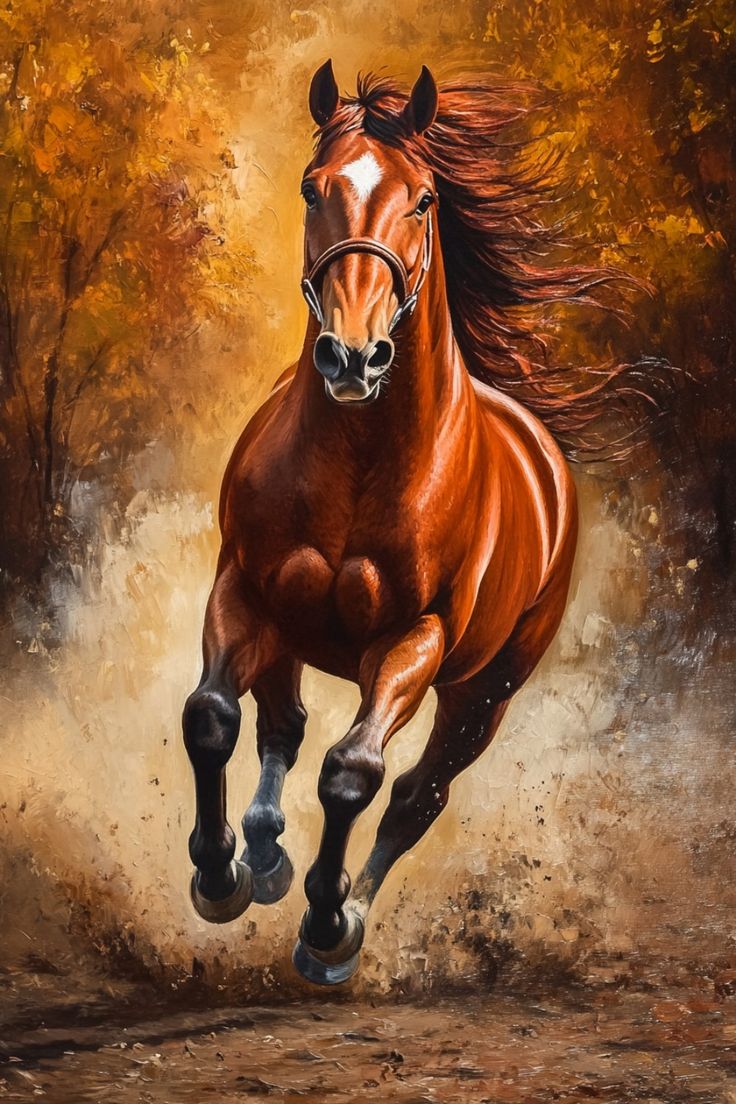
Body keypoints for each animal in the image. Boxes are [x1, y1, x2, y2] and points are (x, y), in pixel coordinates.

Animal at [182, 61, 627, 986]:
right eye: (311, 188)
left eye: (423, 199)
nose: (353, 355)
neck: (361, 455)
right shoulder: (246, 590)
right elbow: (211, 716)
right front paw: (219, 876)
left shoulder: (414, 640)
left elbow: (353, 773)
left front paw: (326, 921)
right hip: (291, 630)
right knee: (281, 723)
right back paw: (264, 857)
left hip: (482, 696)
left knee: (418, 793)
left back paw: (341, 920)